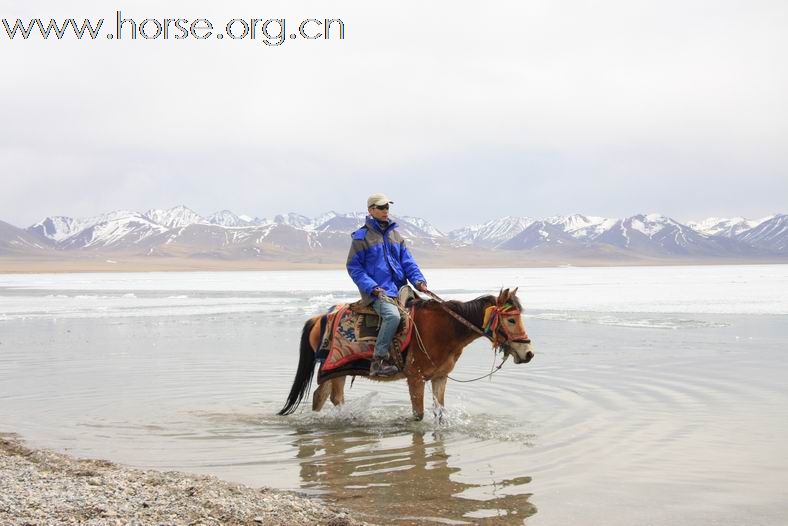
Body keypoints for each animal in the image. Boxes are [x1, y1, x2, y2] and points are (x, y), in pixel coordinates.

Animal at [278, 288, 536, 420]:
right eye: (511, 320)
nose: (528, 353)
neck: (445, 330)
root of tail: (318, 317)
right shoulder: (416, 378)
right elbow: (418, 416)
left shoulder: (439, 378)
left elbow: (439, 412)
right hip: (334, 368)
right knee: (330, 397)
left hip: (335, 371)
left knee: (323, 396)